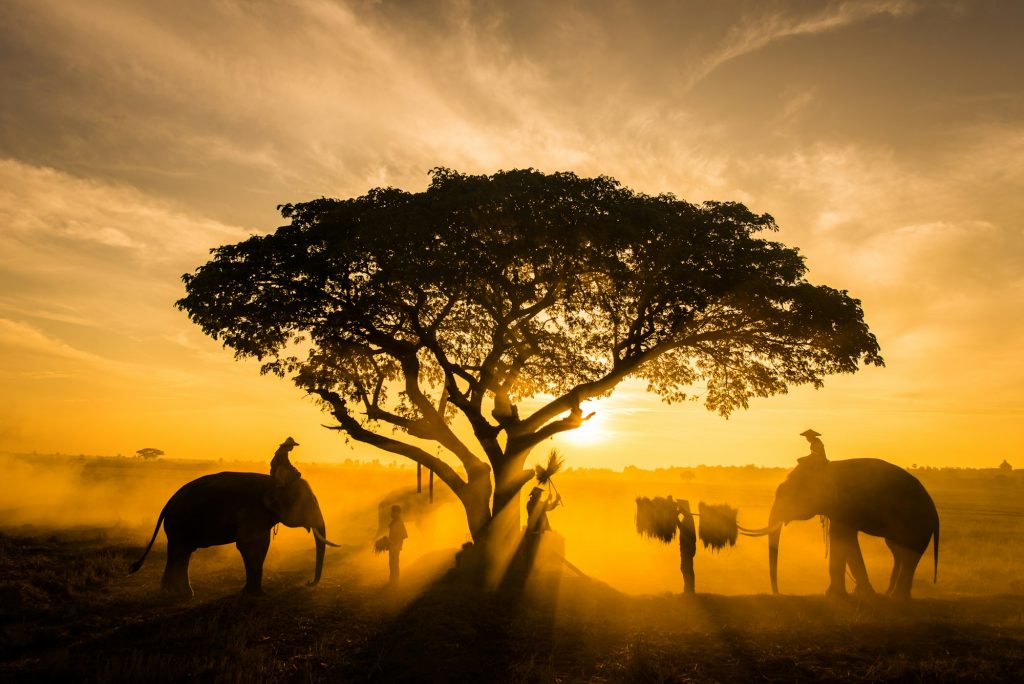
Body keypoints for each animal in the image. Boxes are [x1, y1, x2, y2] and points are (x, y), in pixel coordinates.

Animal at [127, 471, 335, 597]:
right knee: (180, 552)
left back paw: (176, 593)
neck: (274, 482)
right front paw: (255, 595)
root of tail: (168, 503)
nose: (308, 583)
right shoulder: (252, 512)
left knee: (181, 553)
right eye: (309, 504)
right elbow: (252, 545)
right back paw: (179, 594)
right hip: (179, 523)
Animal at [770, 458, 937, 597]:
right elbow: (846, 540)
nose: (779, 593)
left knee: (909, 554)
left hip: (918, 524)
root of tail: (934, 510)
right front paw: (860, 593)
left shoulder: (845, 506)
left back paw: (897, 597)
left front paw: (835, 595)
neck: (826, 467)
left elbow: (841, 537)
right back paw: (889, 594)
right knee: (898, 551)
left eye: (786, 493)